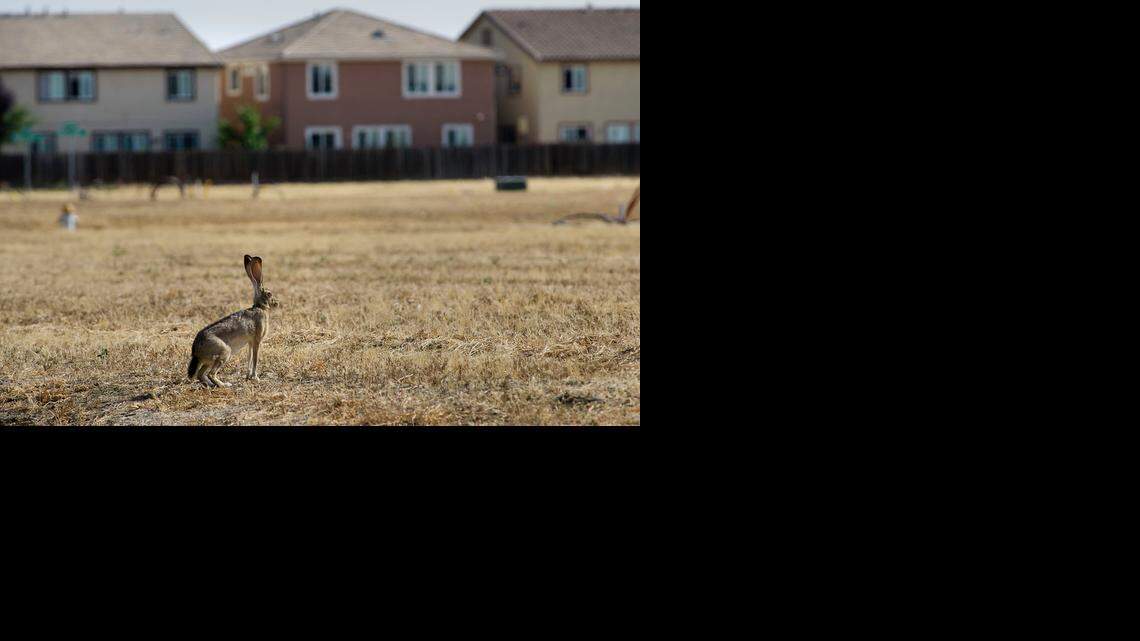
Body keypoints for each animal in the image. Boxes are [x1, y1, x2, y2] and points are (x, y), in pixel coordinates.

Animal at [187, 255, 279, 388]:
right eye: (269, 293)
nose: (277, 303)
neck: (260, 307)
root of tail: (196, 351)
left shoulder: (250, 342)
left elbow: (249, 358)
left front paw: (248, 376)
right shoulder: (257, 340)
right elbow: (255, 359)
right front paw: (256, 378)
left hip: (209, 361)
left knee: (200, 374)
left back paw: (211, 385)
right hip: (225, 352)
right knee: (211, 373)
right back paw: (225, 385)